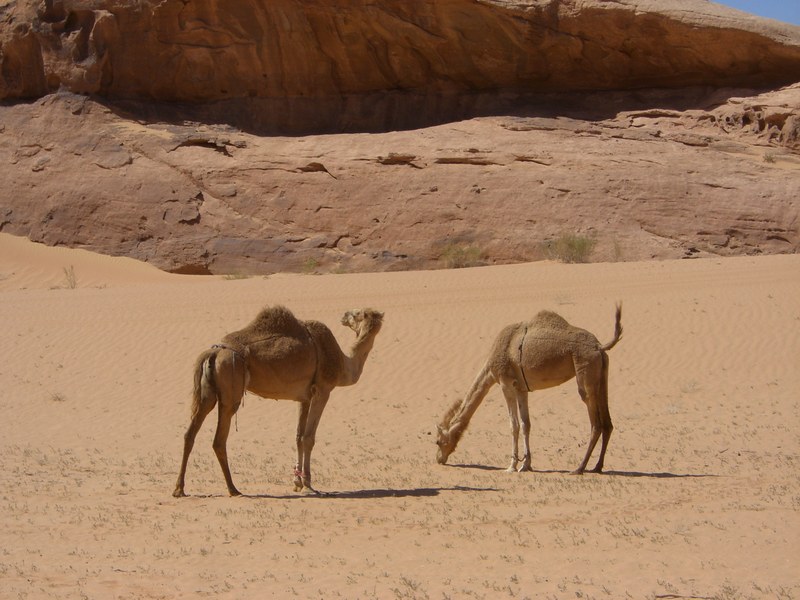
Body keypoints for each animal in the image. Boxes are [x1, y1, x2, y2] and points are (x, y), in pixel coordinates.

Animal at [174, 304, 384, 496]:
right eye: (357, 313)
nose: (344, 315)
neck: (343, 364)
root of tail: (214, 352)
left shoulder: (305, 397)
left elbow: (298, 437)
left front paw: (297, 482)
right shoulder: (323, 390)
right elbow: (309, 438)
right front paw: (308, 484)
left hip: (207, 394)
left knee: (189, 434)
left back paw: (179, 489)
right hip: (230, 388)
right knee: (219, 439)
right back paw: (233, 489)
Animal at [438, 308, 620, 476]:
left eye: (438, 441)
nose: (439, 459)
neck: (490, 368)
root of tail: (599, 346)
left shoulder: (505, 383)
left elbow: (514, 425)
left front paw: (511, 466)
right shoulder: (521, 388)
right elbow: (526, 424)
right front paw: (526, 465)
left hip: (585, 370)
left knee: (595, 422)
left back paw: (579, 468)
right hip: (602, 375)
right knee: (607, 423)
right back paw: (597, 467)